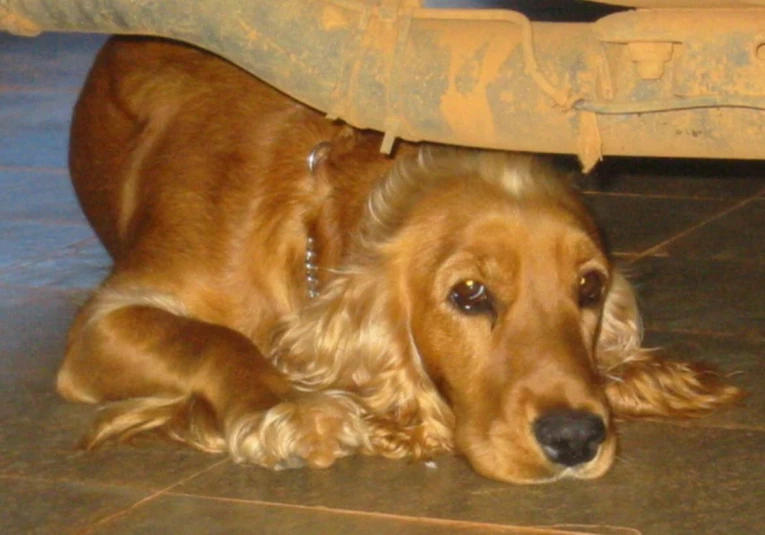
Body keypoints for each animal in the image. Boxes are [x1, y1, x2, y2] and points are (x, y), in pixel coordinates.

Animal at [58, 35, 740, 484]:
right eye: (469, 294)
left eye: (590, 288)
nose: (575, 438)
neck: (309, 212)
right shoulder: (105, 322)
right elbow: (213, 340)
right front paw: (291, 408)